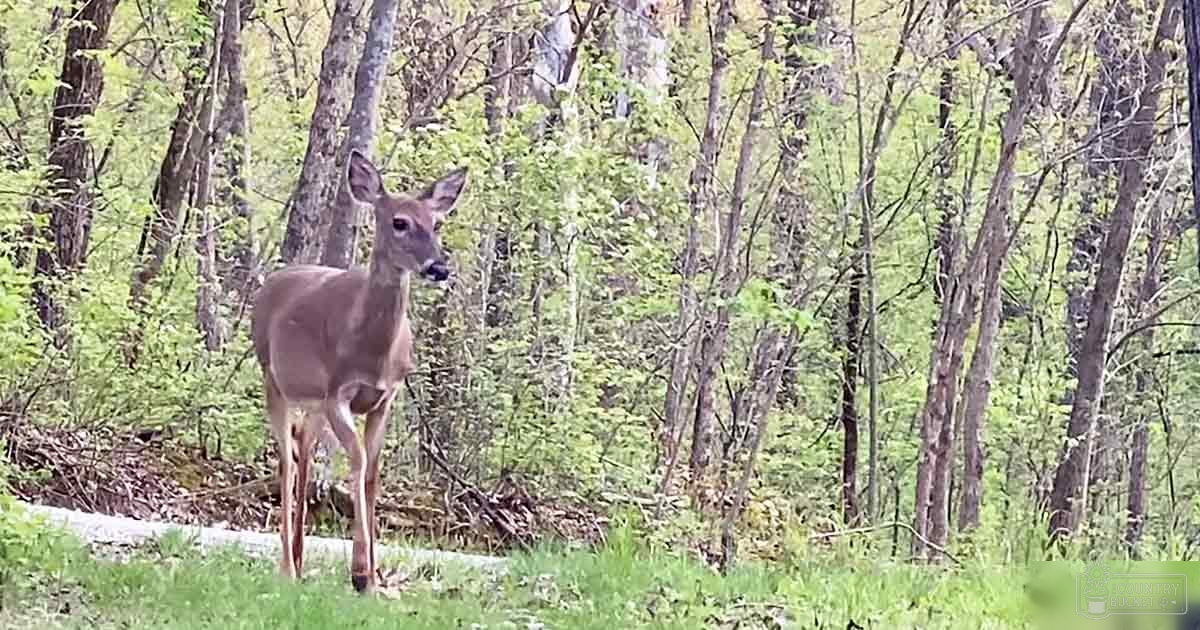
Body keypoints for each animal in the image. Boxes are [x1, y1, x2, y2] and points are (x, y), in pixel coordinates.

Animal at [251, 149, 467, 593]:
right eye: (399, 222)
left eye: (437, 223)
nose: (439, 268)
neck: (374, 353)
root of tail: (269, 283)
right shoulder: (339, 392)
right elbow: (358, 459)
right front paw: (361, 572)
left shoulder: (385, 397)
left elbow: (373, 474)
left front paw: (376, 575)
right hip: (273, 379)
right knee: (286, 462)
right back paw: (287, 568)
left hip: (313, 402)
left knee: (303, 448)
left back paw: (301, 560)